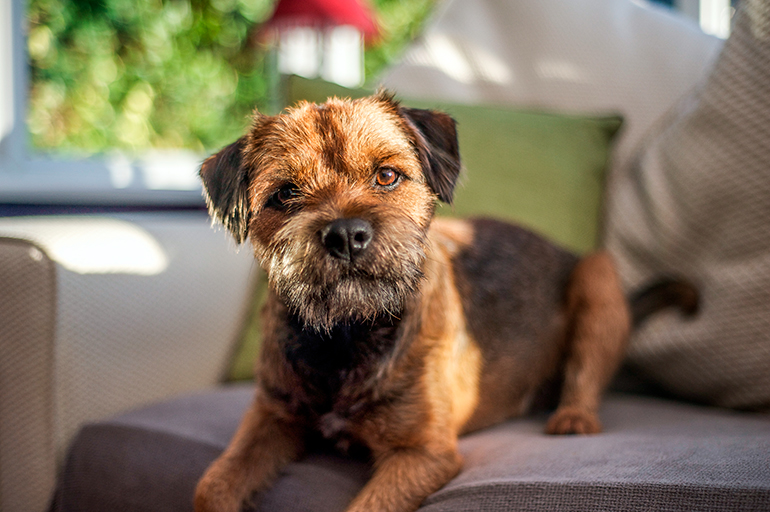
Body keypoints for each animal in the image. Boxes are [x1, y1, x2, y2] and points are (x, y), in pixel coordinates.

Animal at [194, 93, 696, 512]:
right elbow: (211, 486)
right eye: (285, 193)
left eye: (387, 175)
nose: (346, 234)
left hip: (598, 277)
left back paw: (572, 416)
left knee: (585, 375)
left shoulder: (423, 453)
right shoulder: (271, 416)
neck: (346, 336)